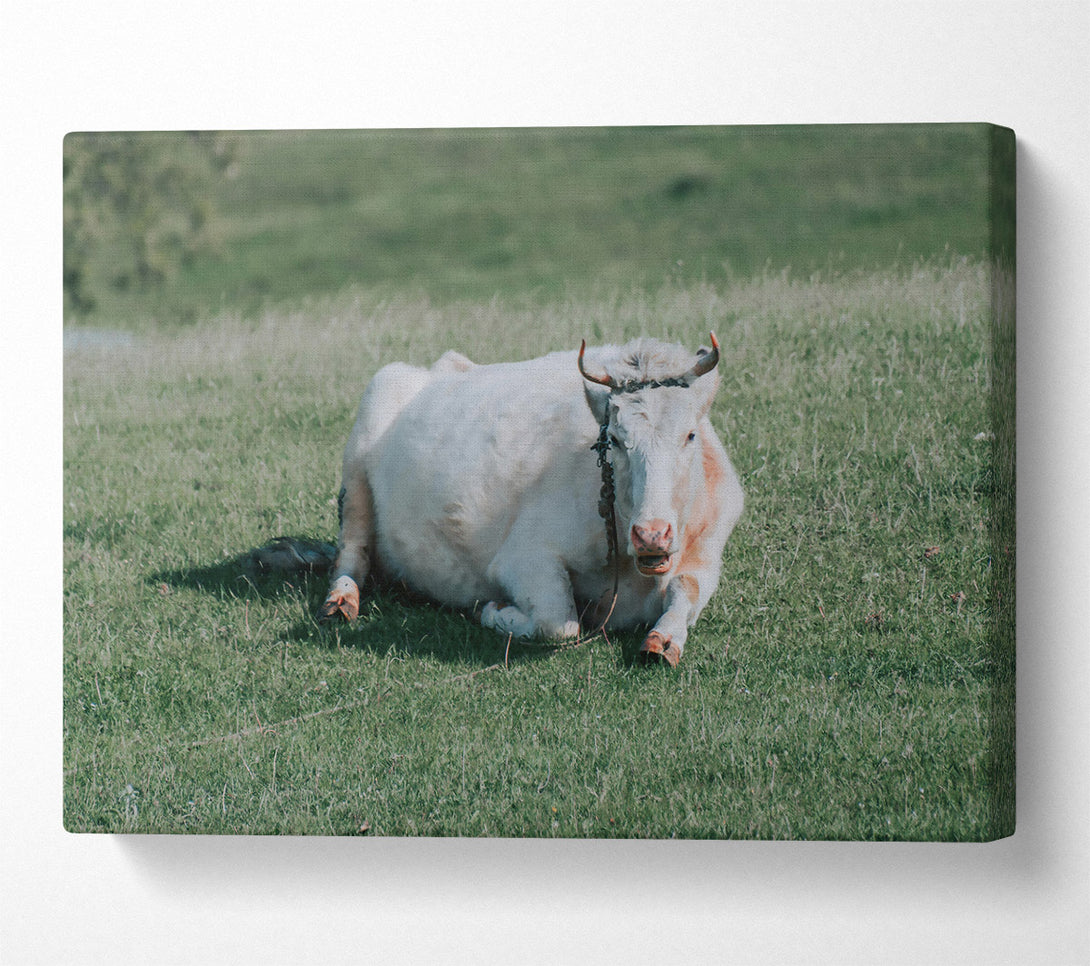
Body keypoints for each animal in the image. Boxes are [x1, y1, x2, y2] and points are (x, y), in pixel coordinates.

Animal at [318, 334, 744, 666]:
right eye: (616, 439)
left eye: (690, 435)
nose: (651, 534)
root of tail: (441, 367)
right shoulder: (521, 557)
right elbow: (559, 622)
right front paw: (492, 611)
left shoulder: (708, 553)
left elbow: (687, 590)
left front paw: (664, 640)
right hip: (359, 455)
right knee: (353, 551)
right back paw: (342, 600)